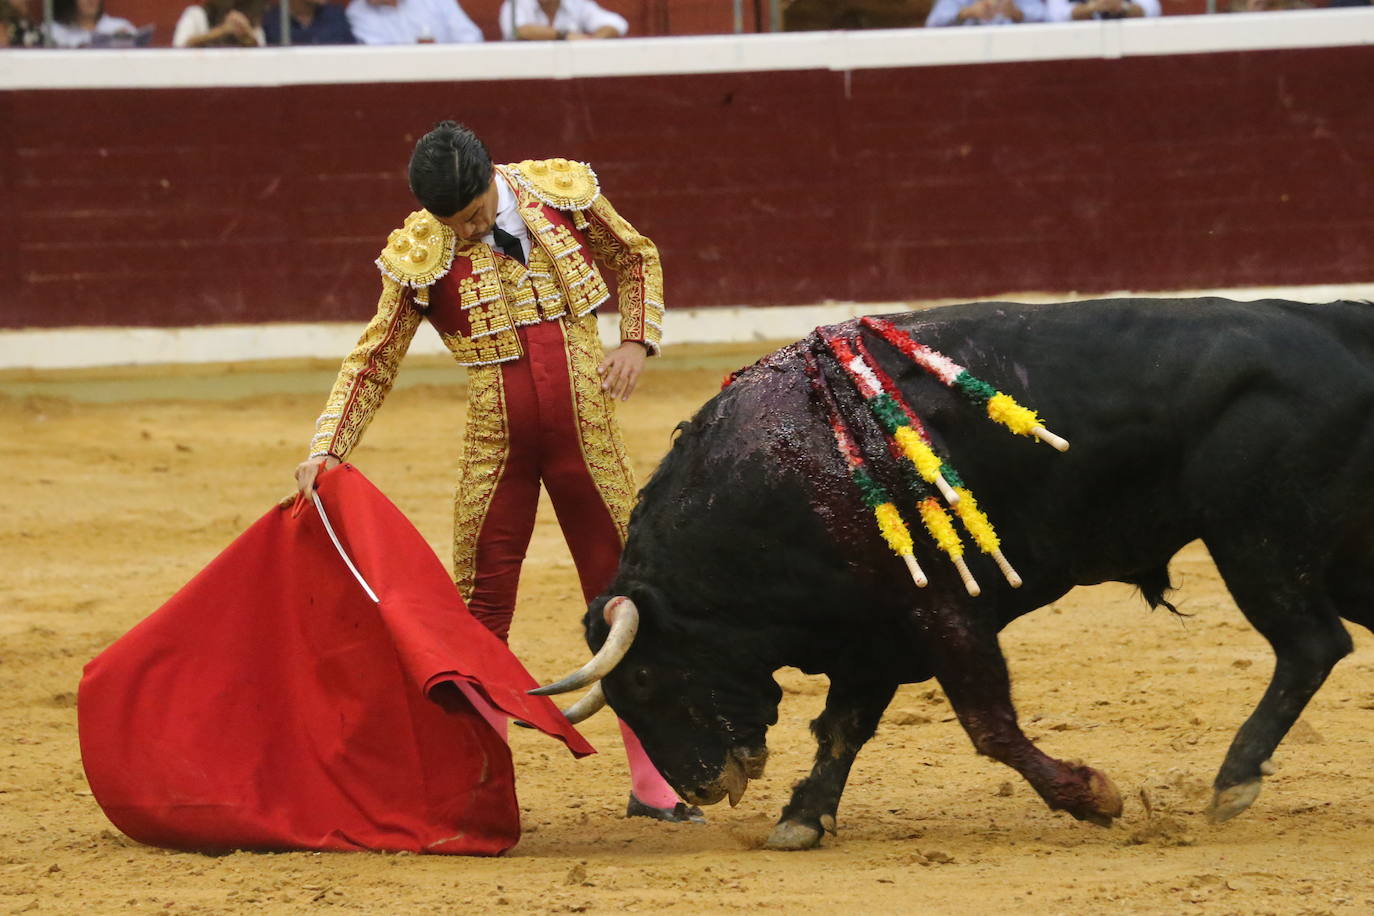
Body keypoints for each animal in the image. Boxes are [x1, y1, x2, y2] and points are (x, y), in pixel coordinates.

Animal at [574, 300, 1374, 851]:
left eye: (642, 678)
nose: (702, 787)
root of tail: (1336, 325)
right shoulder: (875, 633)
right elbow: (843, 727)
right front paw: (802, 819)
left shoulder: (943, 612)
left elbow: (988, 724)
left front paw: (1094, 797)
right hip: (1326, 553)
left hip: (1258, 542)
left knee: (1311, 645)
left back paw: (1233, 781)